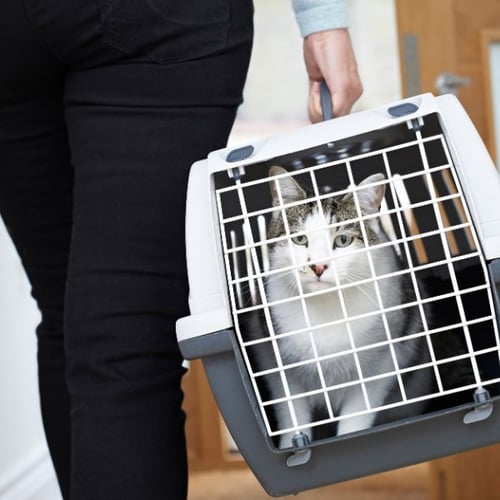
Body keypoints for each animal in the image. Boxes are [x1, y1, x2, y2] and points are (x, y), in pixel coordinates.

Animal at [258, 165, 434, 450]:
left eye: (342, 240)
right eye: (300, 239)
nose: (318, 266)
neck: (328, 307)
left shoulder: (383, 364)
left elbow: (356, 417)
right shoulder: (275, 361)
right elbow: (292, 416)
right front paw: (292, 446)